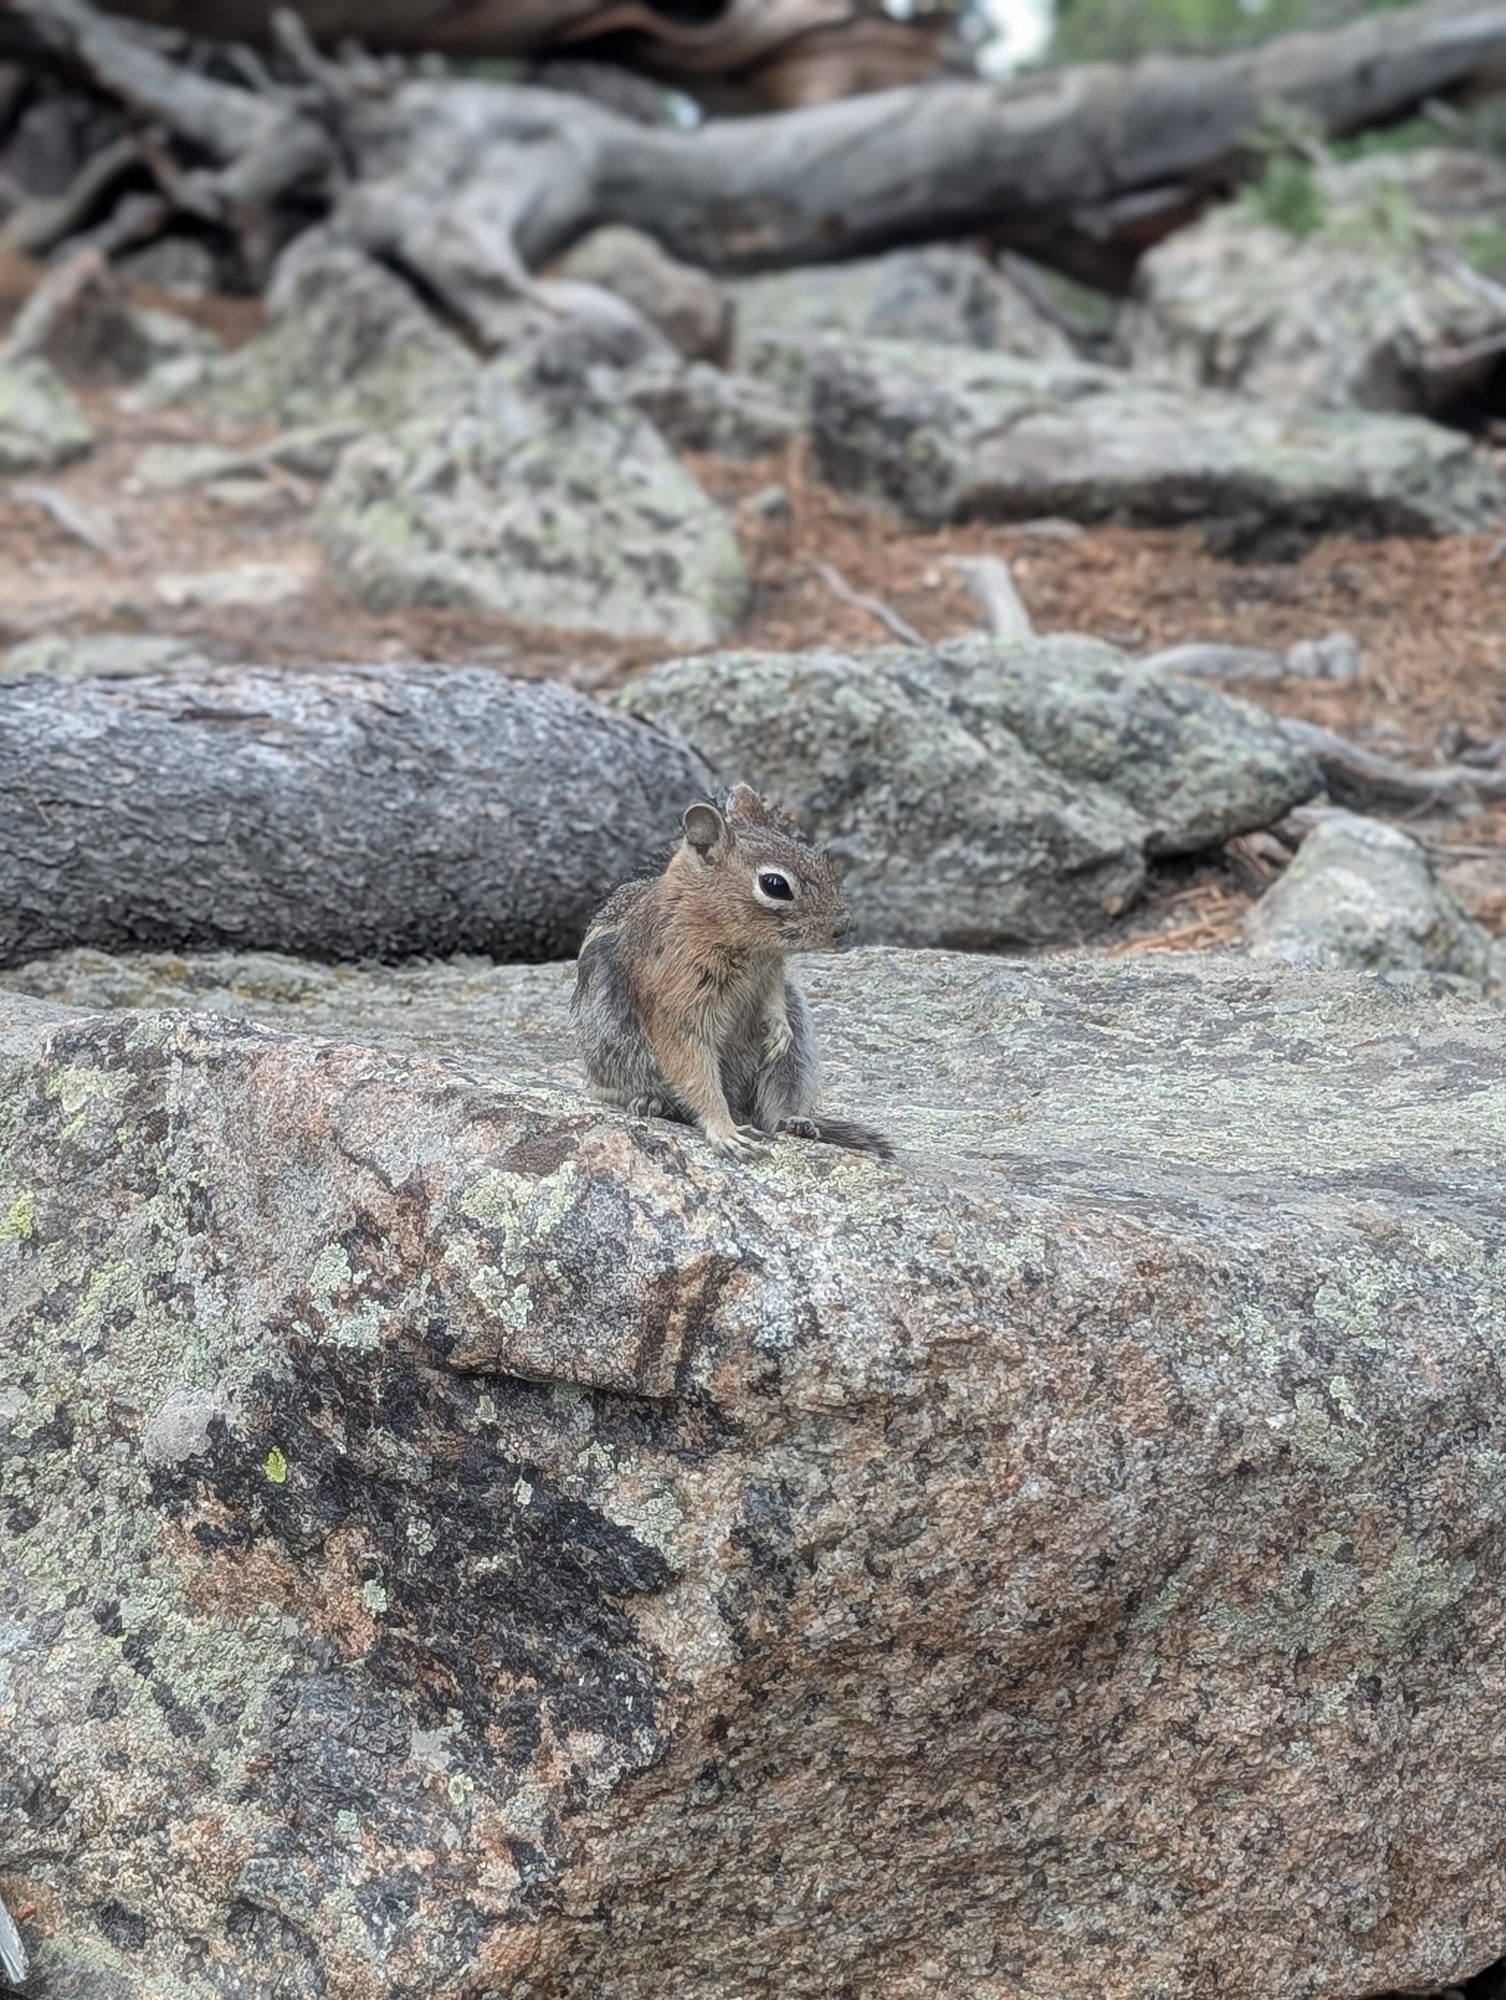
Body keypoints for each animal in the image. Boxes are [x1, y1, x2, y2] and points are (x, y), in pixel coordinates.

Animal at [571, 782, 893, 1162]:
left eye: (817, 859)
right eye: (775, 885)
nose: (844, 928)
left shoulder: (773, 970)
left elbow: (774, 996)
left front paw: (777, 1029)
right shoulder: (678, 1004)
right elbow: (694, 1071)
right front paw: (725, 1132)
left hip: (795, 1061)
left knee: (774, 1108)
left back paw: (797, 1122)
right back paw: (651, 1102)